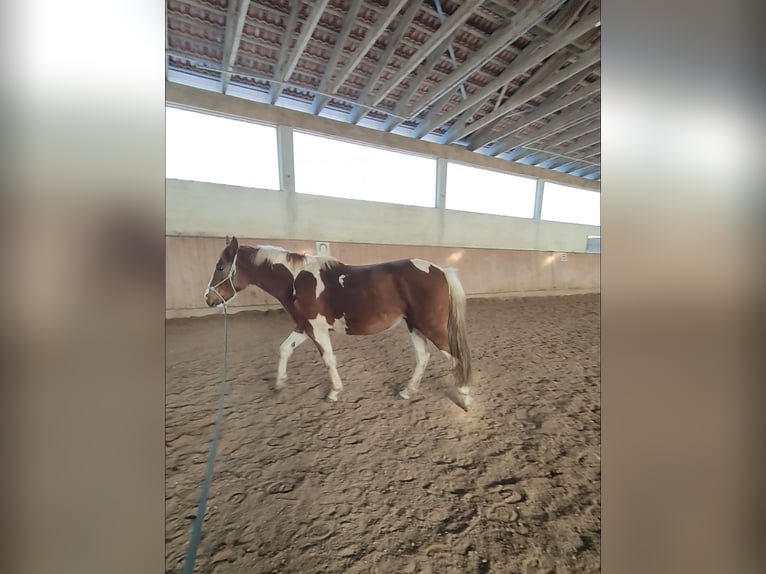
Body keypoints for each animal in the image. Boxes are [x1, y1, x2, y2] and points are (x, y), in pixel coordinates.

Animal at [204, 236, 472, 407]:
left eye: (220, 267)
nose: (208, 298)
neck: (296, 280)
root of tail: (440, 270)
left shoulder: (317, 328)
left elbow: (328, 359)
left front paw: (334, 392)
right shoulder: (304, 327)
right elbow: (284, 349)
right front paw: (279, 384)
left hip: (430, 327)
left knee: (456, 356)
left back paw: (466, 397)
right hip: (414, 325)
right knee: (423, 357)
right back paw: (407, 391)